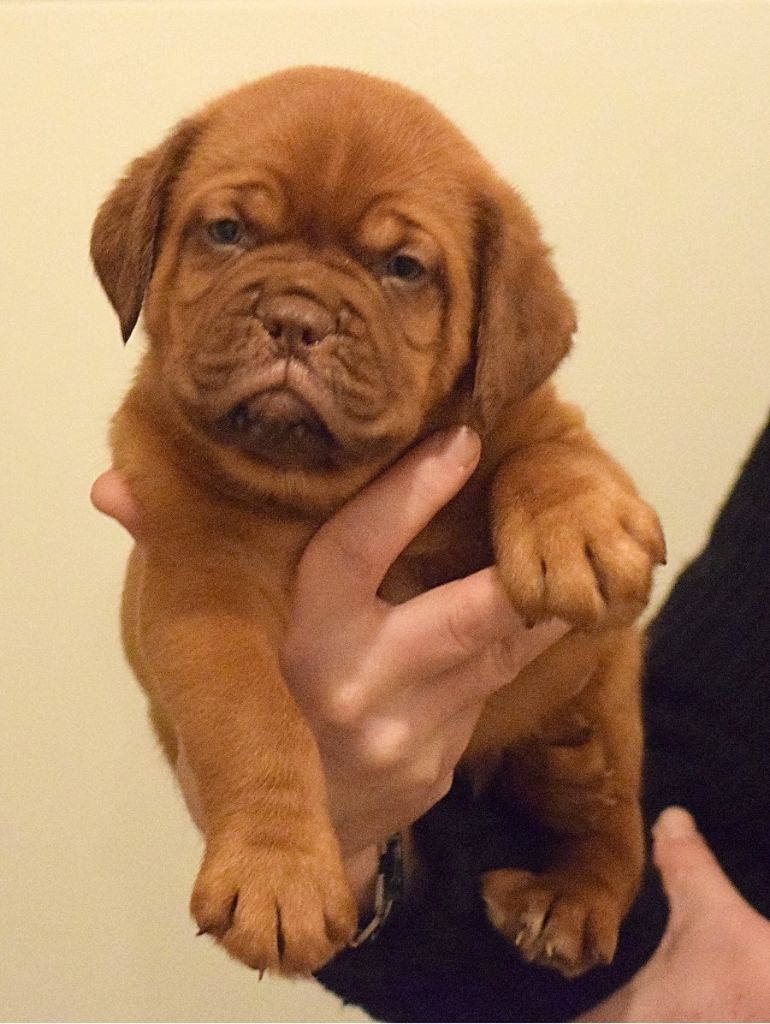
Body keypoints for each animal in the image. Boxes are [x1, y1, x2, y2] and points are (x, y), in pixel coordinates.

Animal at [91, 66, 665, 979]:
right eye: (227, 232)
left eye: (403, 267)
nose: (296, 318)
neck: (326, 485)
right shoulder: (199, 592)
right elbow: (251, 718)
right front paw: (278, 875)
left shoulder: (523, 419)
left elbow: (551, 454)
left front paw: (578, 532)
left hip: (609, 693)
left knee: (614, 822)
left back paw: (570, 882)